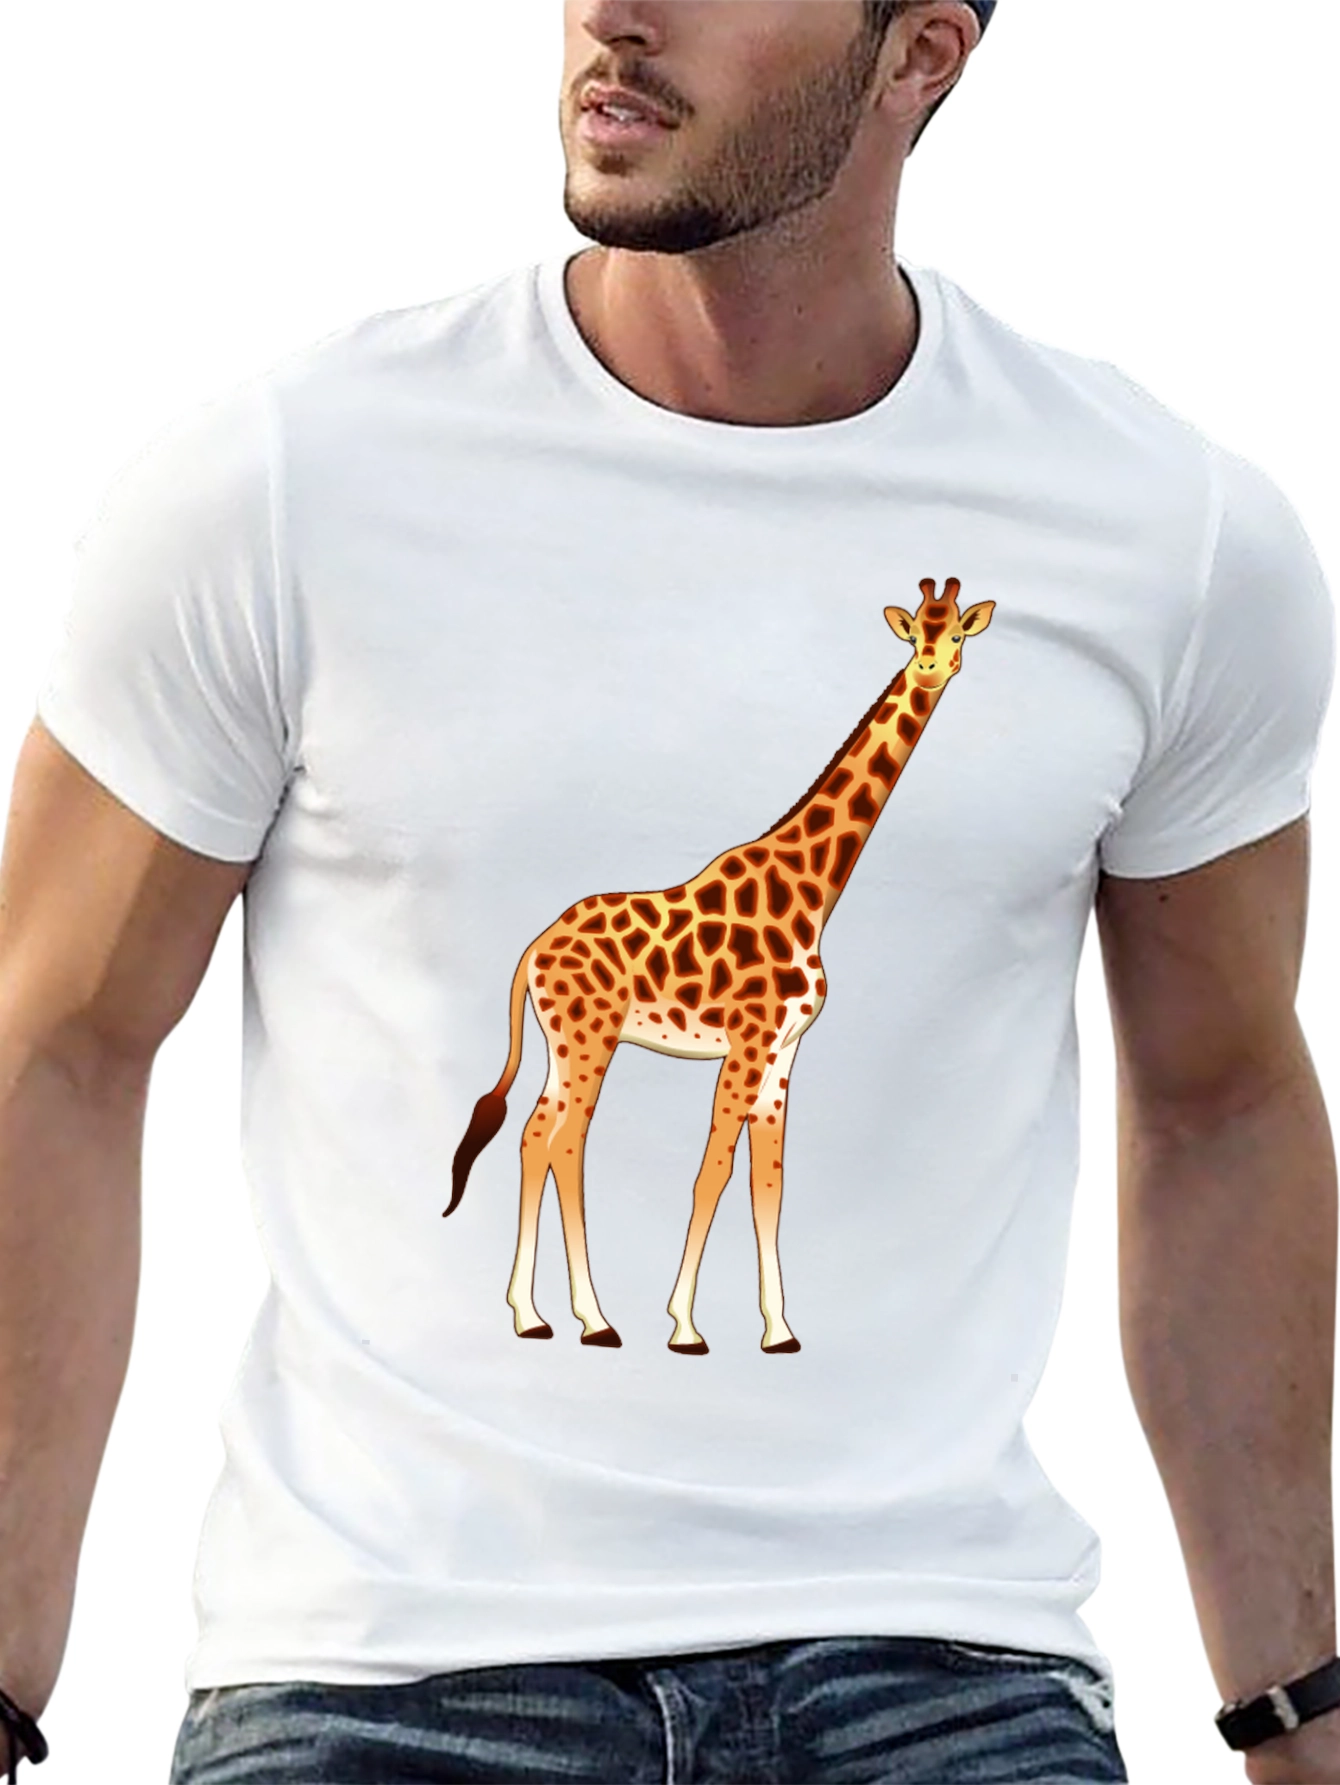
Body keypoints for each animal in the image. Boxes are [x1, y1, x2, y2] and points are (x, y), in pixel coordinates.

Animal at [444, 578, 995, 1354]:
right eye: (917, 632)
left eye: (957, 636)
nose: (930, 669)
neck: (812, 891)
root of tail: (533, 950)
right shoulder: (749, 1043)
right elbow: (715, 1172)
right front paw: (684, 1325)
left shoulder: (783, 1053)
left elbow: (771, 1183)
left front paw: (778, 1329)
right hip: (590, 1040)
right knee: (564, 1140)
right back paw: (586, 1318)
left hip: (564, 1042)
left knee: (533, 1135)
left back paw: (540, 1313)